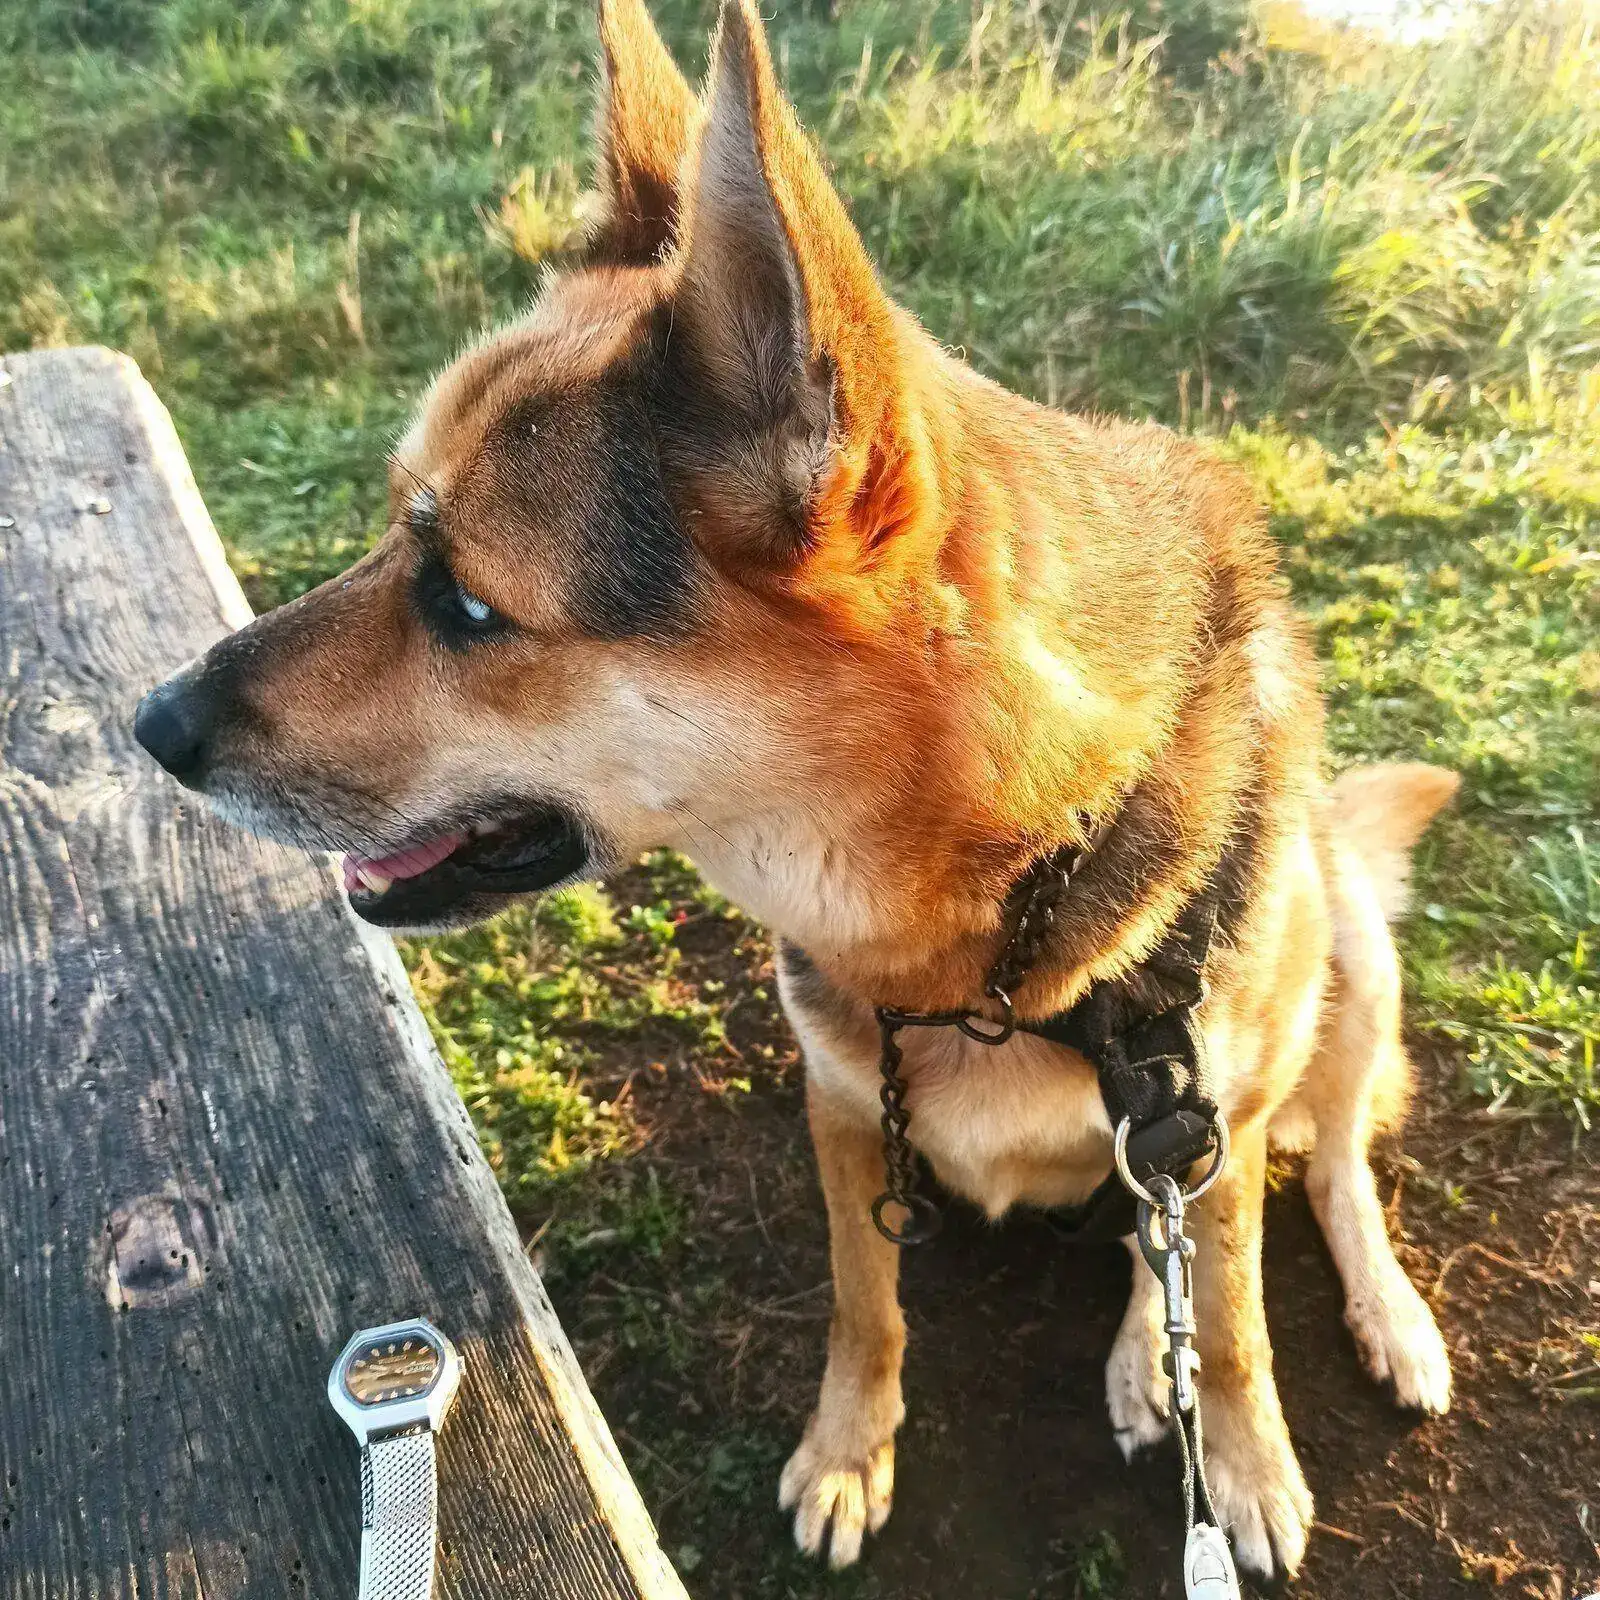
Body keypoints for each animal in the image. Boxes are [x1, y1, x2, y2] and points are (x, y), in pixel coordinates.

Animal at [134, 0, 1459, 1578]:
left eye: (464, 601)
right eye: (399, 532)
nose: (151, 722)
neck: (987, 940)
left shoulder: (1214, 1101)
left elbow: (1243, 1310)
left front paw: (1244, 1456)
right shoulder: (840, 1104)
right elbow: (865, 1304)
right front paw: (848, 1451)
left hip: (1341, 959)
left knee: (1317, 1179)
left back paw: (1344, 1326)